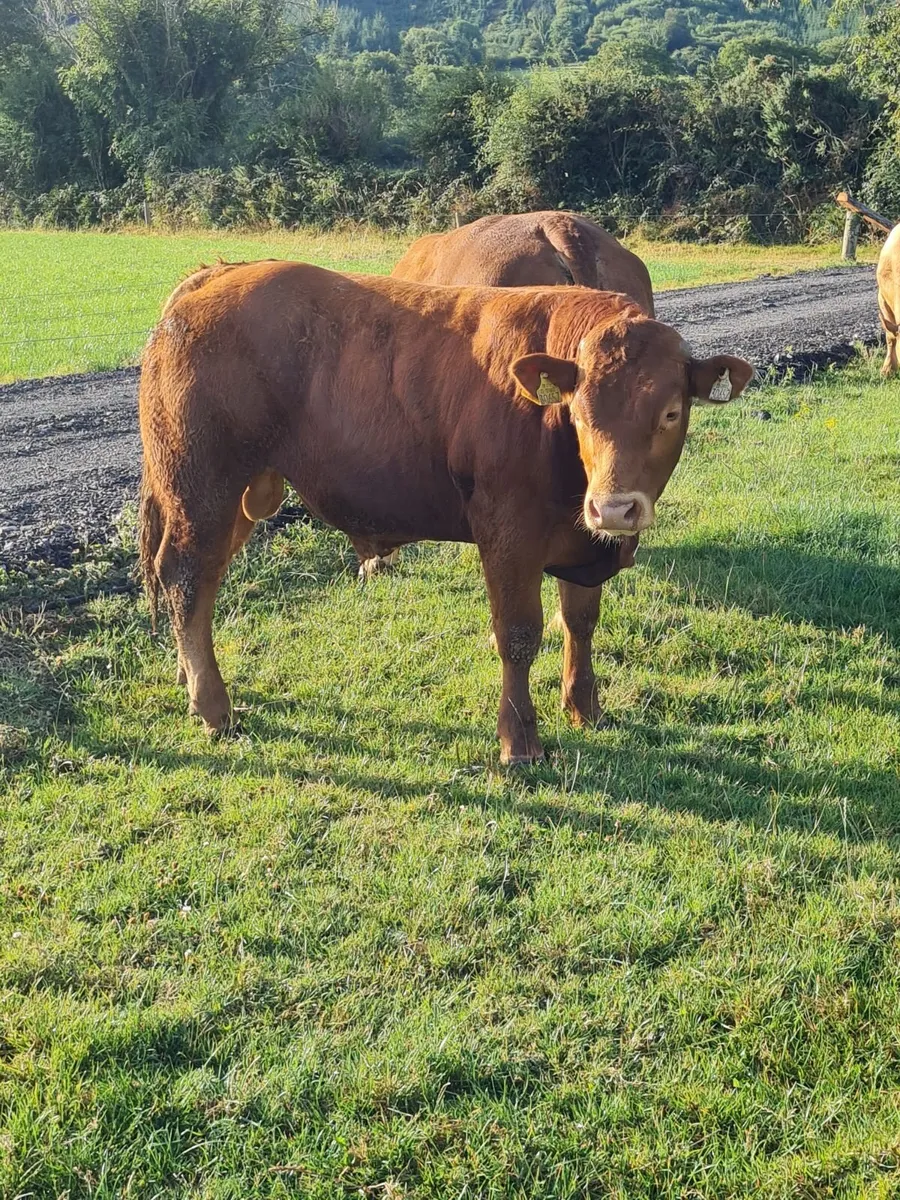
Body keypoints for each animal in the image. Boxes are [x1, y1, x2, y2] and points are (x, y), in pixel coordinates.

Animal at [139, 261, 752, 765]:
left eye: (671, 412)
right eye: (577, 412)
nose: (614, 507)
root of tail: (215, 274)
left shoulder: (580, 540)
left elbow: (580, 620)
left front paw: (584, 707)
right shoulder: (508, 532)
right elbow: (519, 634)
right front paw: (519, 743)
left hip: (237, 496)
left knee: (198, 584)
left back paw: (189, 681)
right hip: (201, 485)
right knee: (185, 576)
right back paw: (215, 707)